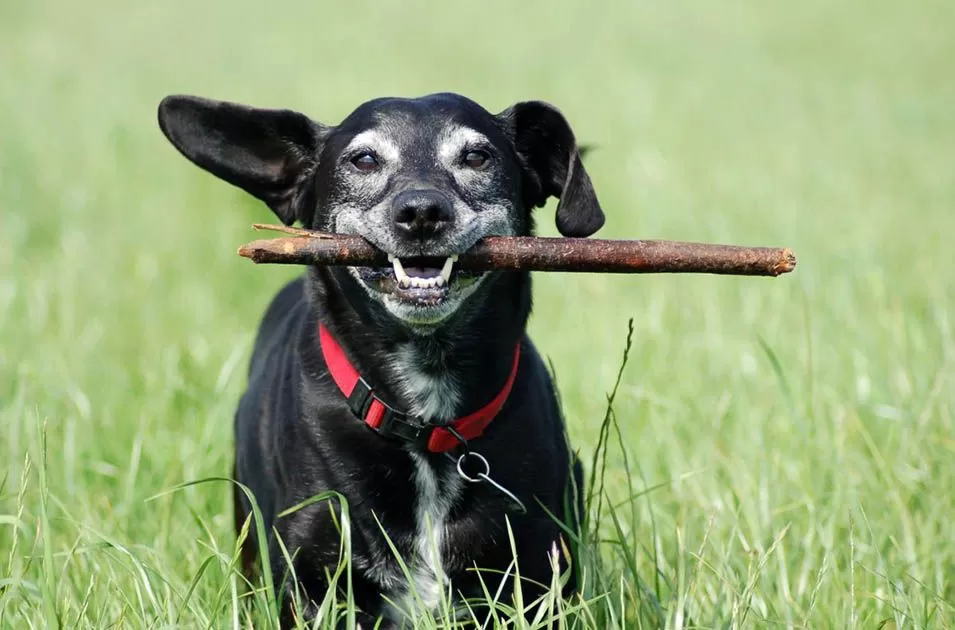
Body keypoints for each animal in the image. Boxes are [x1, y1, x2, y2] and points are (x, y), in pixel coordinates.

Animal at [157, 91, 604, 628]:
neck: (425, 420)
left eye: (477, 156)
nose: (421, 211)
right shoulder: (311, 582)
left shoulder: (539, 573)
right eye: (364, 159)